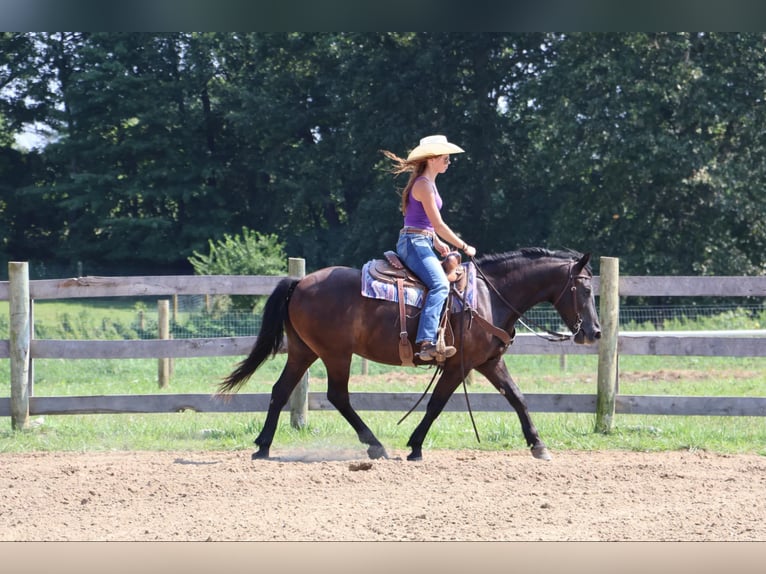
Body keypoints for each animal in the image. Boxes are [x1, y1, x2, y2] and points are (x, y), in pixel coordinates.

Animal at [219, 249, 604, 464]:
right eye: (584, 289)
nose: (595, 332)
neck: (488, 296)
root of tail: (299, 282)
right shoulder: (459, 365)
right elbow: (436, 403)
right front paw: (415, 446)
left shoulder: (489, 361)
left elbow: (518, 398)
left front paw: (539, 446)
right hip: (335, 354)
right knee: (337, 395)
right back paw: (375, 446)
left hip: (303, 351)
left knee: (281, 391)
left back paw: (263, 447)